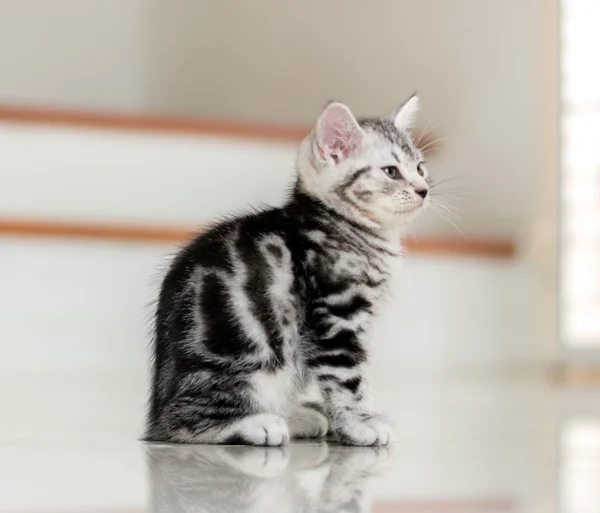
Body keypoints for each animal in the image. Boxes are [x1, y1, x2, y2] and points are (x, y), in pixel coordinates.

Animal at [145, 95, 428, 444]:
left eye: (420, 168)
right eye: (391, 172)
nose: (424, 189)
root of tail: (156, 414)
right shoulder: (335, 319)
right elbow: (348, 379)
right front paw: (360, 424)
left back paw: (297, 416)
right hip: (246, 362)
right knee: (183, 421)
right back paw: (257, 423)